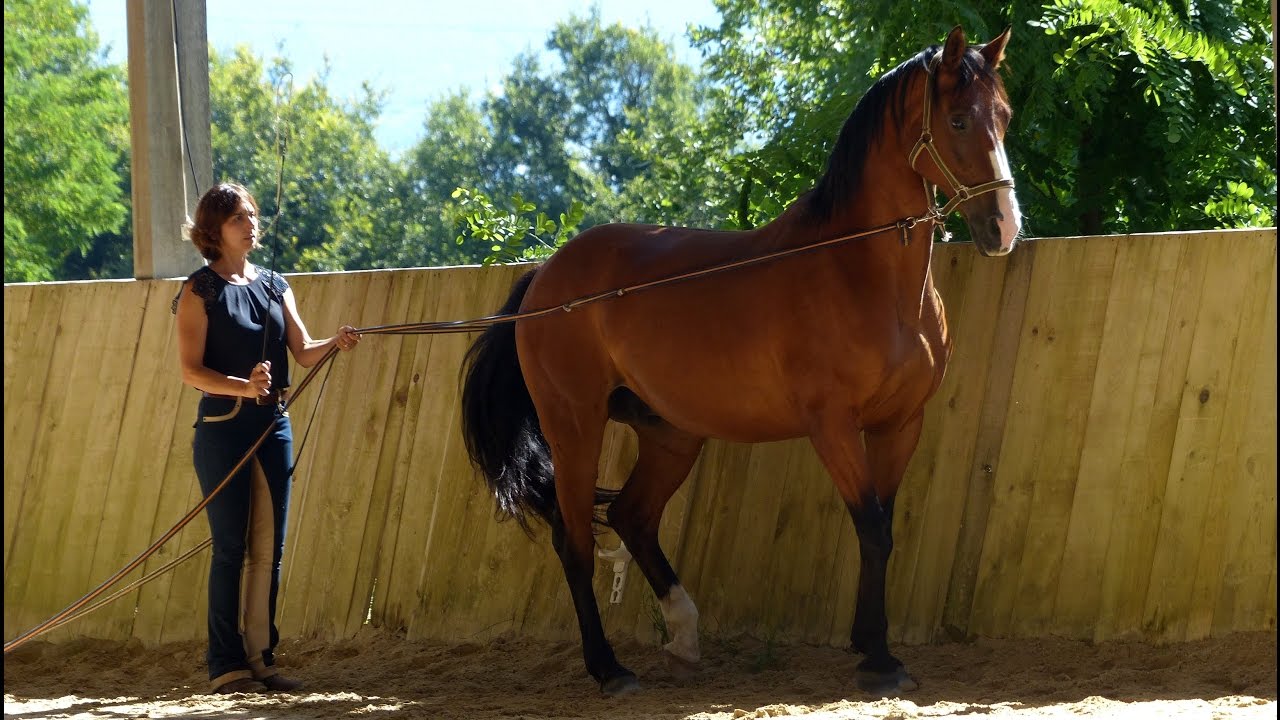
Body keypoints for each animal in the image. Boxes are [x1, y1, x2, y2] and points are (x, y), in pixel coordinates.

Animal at [460, 25, 1020, 696]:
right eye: (958, 120)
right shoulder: (833, 427)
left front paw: (871, 646)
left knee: (631, 516)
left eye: (1005, 118)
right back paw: (609, 669)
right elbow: (870, 526)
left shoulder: (899, 424)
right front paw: (880, 660)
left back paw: (683, 635)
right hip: (575, 427)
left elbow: (883, 529)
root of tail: (547, 276)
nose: (1004, 227)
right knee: (574, 541)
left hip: (671, 434)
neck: (860, 275)